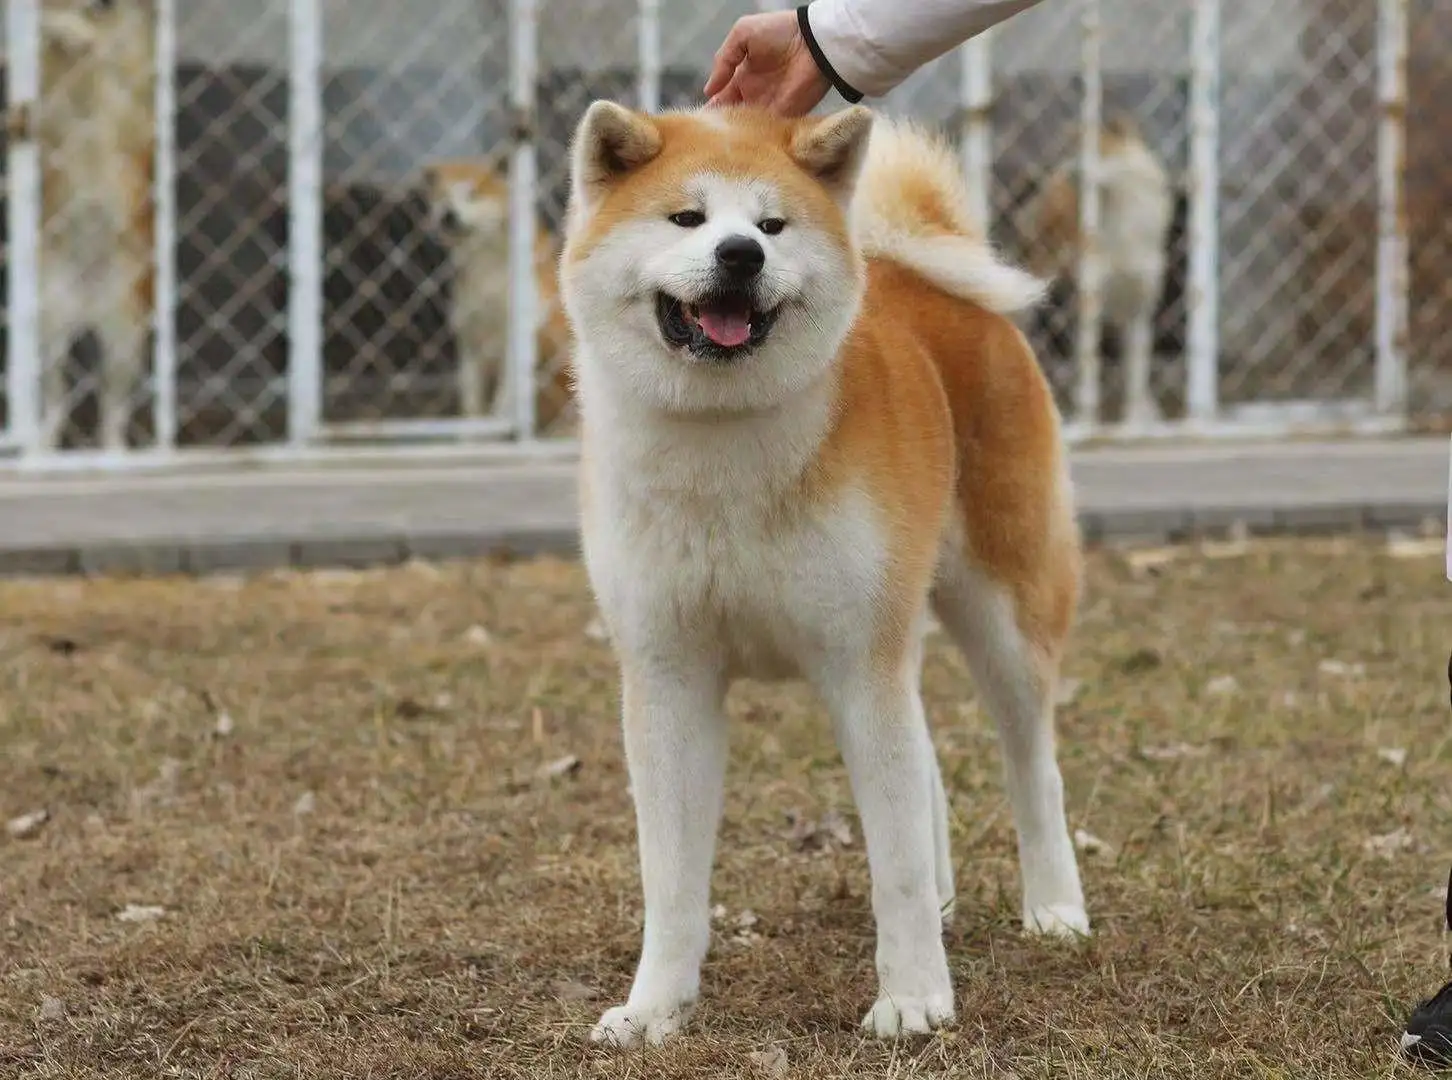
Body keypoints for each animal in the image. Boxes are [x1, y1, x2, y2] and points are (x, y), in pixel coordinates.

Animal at [560, 101, 1086, 1045]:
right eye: (687, 218)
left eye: (773, 226)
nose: (741, 254)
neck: (722, 446)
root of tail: (925, 276)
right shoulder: (668, 675)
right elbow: (671, 880)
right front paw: (656, 1008)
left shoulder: (859, 663)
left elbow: (895, 865)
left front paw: (913, 999)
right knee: (931, 767)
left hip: (1004, 614)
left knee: (1033, 764)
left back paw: (1056, 907)